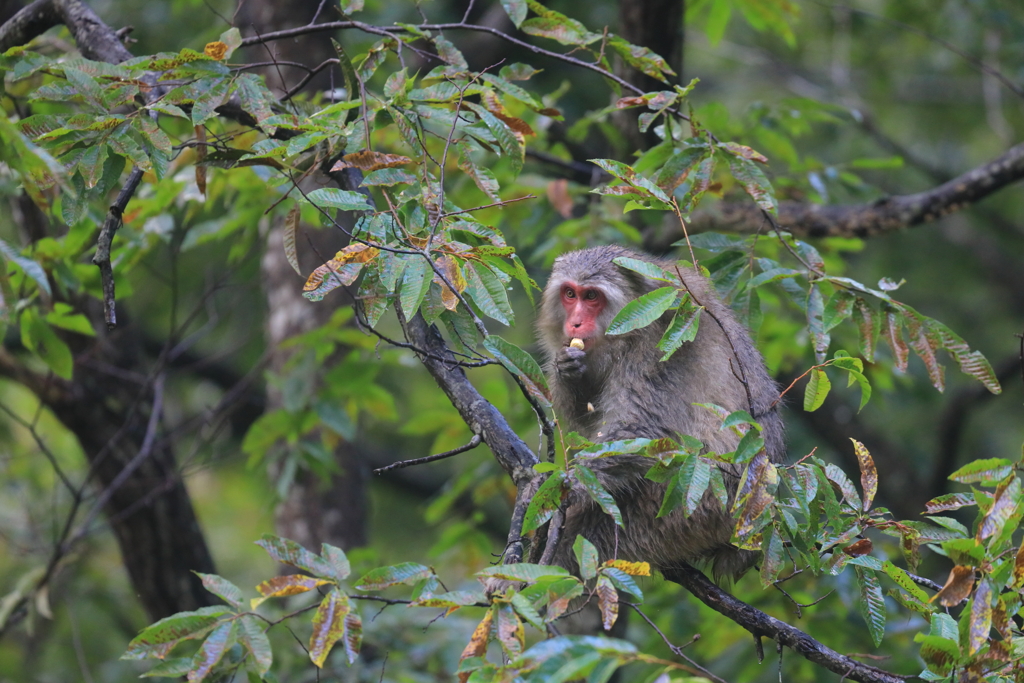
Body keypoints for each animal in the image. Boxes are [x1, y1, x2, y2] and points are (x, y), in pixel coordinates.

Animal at [536, 242, 782, 581]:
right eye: (570, 294)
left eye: (592, 296)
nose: (574, 324)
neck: (625, 336)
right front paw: (568, 370)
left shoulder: (658, 348)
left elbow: (642, 429)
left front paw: (568, 485)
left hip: (688, 504)